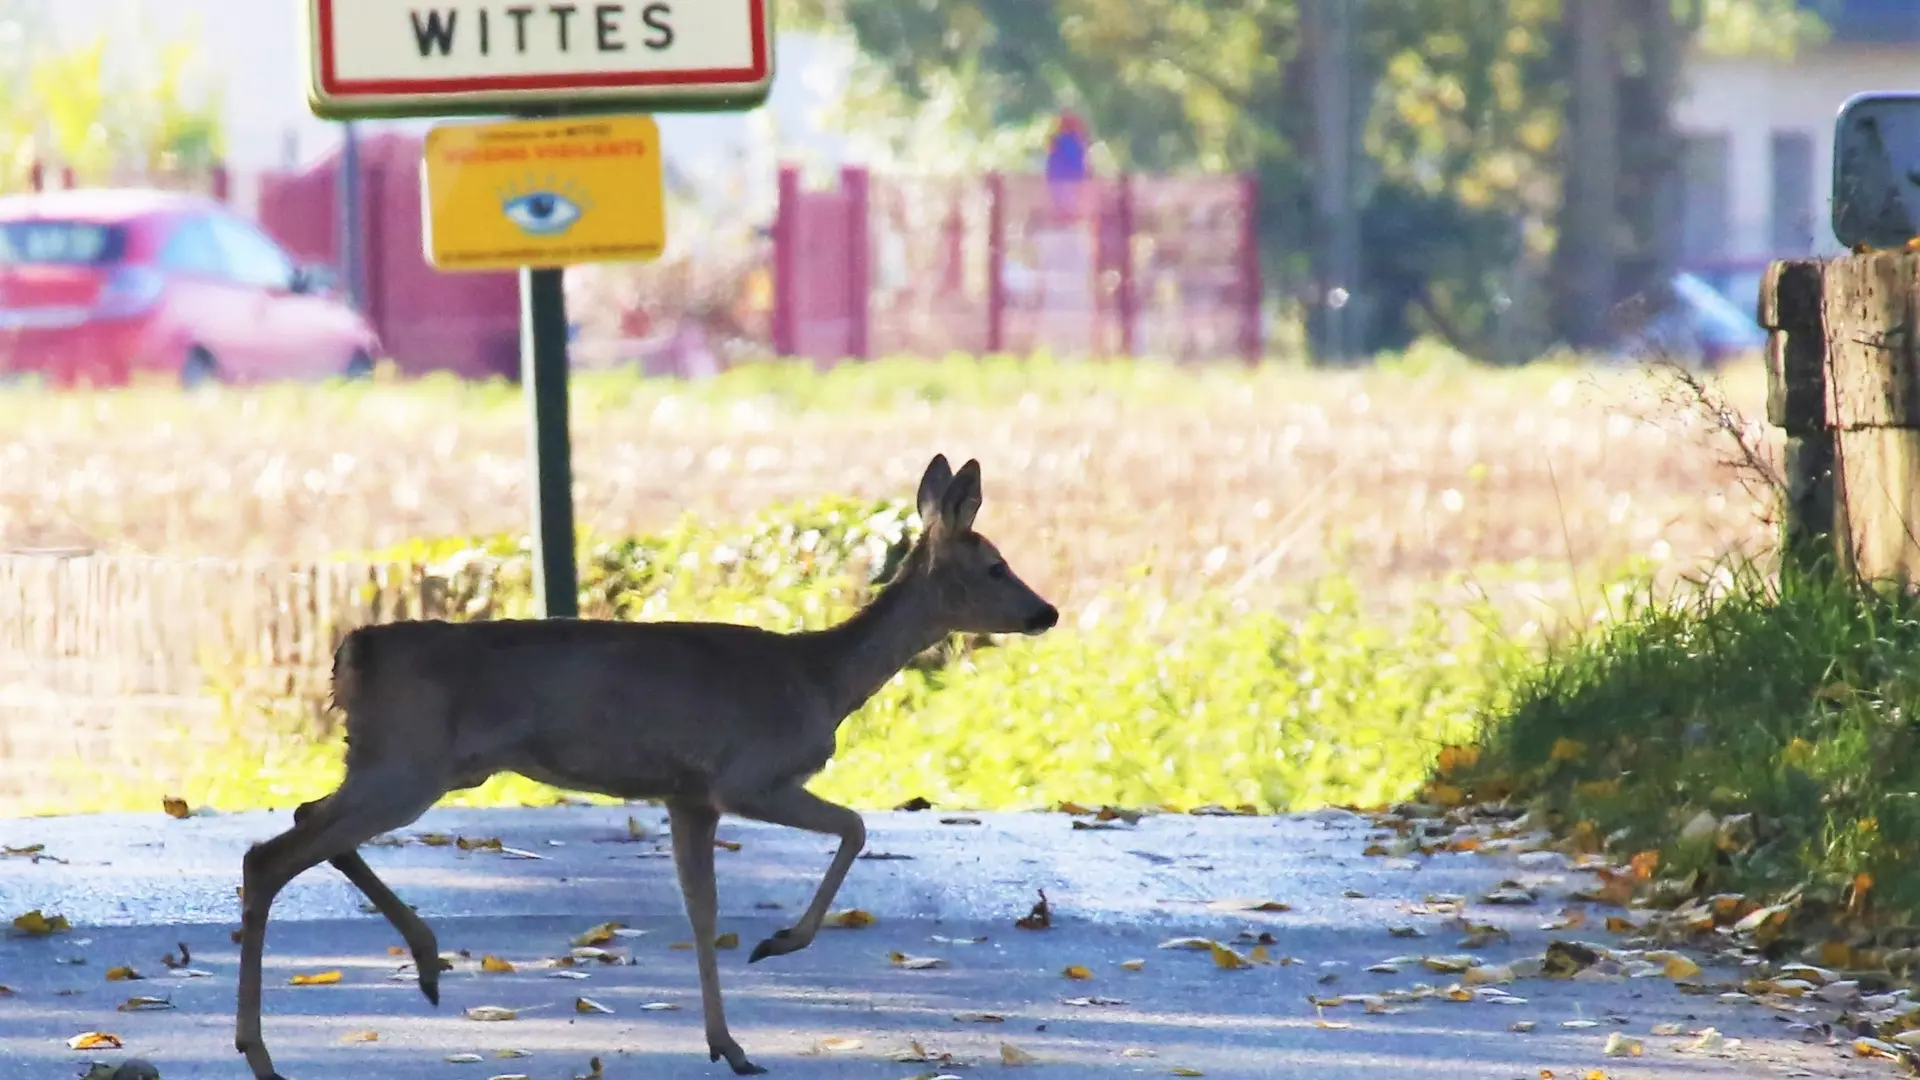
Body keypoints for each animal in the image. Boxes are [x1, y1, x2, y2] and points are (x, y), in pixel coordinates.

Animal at [240, 453, 1067, 1076]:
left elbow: (700, 908)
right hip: (409, 764)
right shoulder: (746, 775)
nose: (1048, 612)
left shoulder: (685, 793)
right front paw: (775, 947)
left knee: (305, 822)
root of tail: (352, 652)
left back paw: (426, 960)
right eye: (996, 566)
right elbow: (855, 828)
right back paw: (265, 1050)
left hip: (396, 762)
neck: (821, 680)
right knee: (270, 854)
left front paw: (728, 1045)